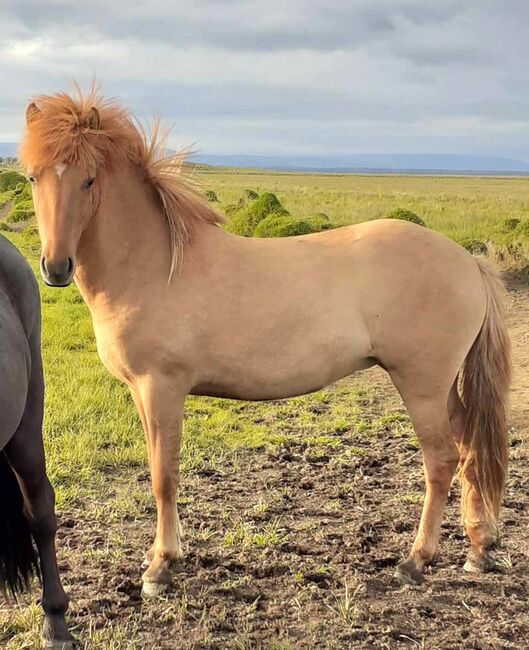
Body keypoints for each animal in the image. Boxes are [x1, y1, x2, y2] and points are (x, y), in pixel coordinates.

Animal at [18, 88, 510, 596]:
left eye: (89, 180)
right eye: (32, 176)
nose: (56, 267)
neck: (154, 266)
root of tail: (468, 262)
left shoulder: (162, 388)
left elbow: (163, 476)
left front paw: (160, 567)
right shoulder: (140, 391)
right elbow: (159, 469)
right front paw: (165, 555)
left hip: (421, 385)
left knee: (441, 458)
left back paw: (417, 560)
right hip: (441, 387)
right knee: (470, 444)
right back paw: (479, 547)